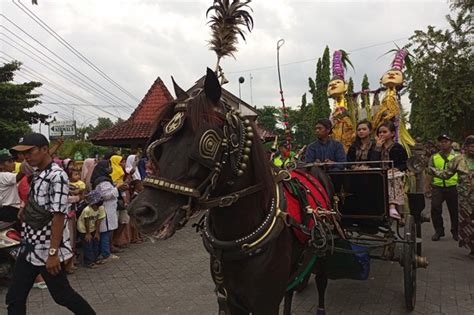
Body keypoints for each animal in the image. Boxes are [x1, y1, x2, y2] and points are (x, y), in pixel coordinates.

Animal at [129, 69, 336, 315]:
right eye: (158, 147)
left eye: (206, 144)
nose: (140, 211)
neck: (237, 237)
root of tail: (310, 166)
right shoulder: (230, 299)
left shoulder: (265, 302)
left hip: (323, 251)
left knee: (322, 280)